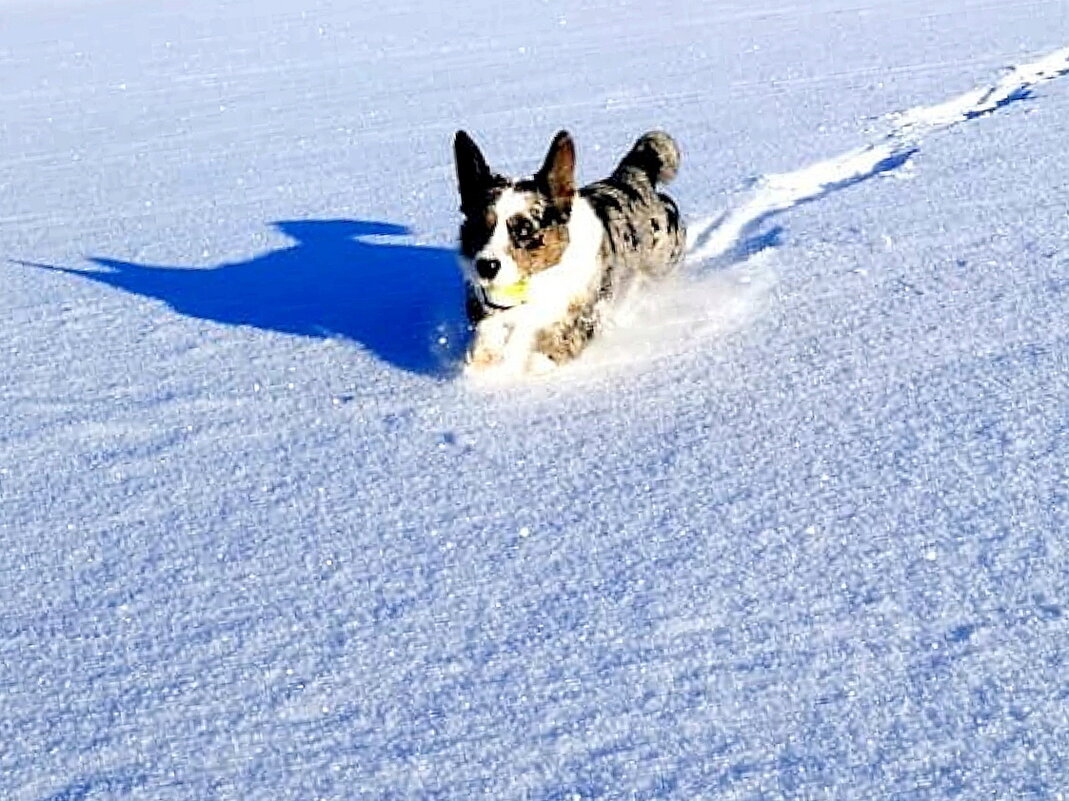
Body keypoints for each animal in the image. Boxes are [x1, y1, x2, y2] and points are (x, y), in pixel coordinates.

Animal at [451, 126, 684, 376]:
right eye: (479, 227)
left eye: (524, 229)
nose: (486, 267)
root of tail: (634, 179)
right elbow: (486, 336)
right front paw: (482, 363)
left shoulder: (586, 306)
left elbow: (563, 335)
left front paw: (537, 361)